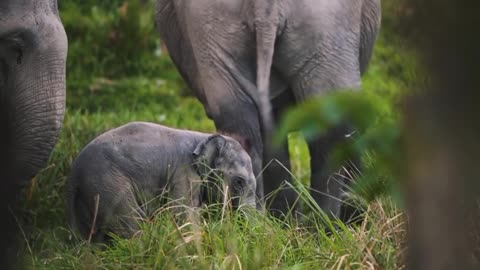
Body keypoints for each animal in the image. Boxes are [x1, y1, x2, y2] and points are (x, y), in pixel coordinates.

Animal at [66, 121, 258, 242]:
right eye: (239, 182)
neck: (204, 137)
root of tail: (74, 173)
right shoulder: (184, 174)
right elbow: (181, 214)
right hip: (108, 184)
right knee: (130, 221)